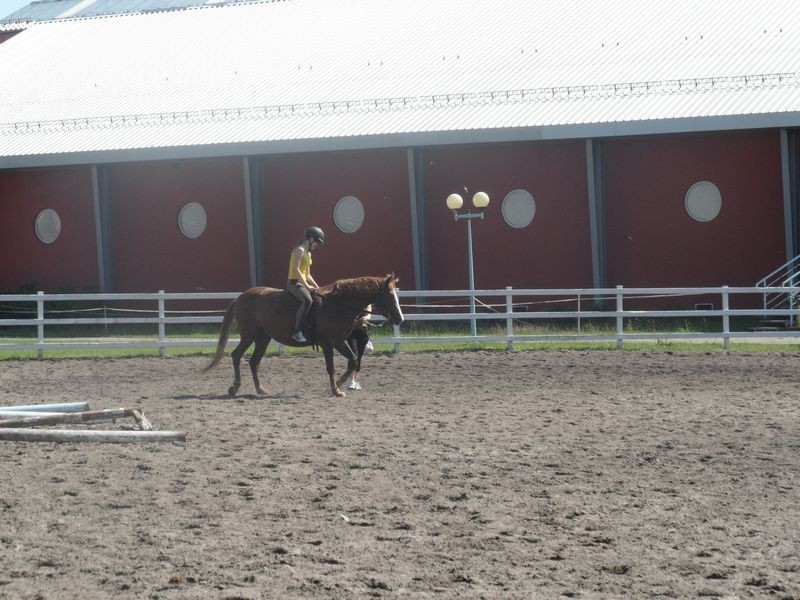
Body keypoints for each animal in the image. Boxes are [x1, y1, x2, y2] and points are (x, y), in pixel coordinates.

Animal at [203, 274, 404, 396]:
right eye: (388, 296)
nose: (400, 318)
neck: (337, 304)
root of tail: (241, 297)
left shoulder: (339, 342)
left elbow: (353, 360)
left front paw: (339, 385)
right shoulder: (328, 343)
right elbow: (330, 367)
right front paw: (335, 389)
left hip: (263, 338)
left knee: (253, 362)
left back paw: (260, 389)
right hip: (249, 335)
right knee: (236, 355)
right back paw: (234, 387)